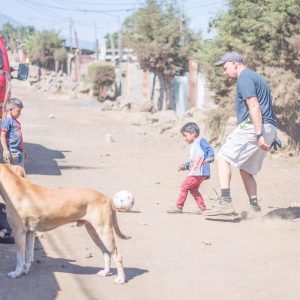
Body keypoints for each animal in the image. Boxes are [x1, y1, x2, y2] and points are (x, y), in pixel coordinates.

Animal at [0, 164, 131, 284]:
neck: (15, 187)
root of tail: (107, 198)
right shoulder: (30, 232)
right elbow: (28, 254)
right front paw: (25, 270)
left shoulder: (19, 231)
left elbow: (19, 256)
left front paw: (16, 273)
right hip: (94, 231)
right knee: (106, 252)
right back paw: (105, 272)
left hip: (104, 231)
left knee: (117, 256)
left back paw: (121, 279)